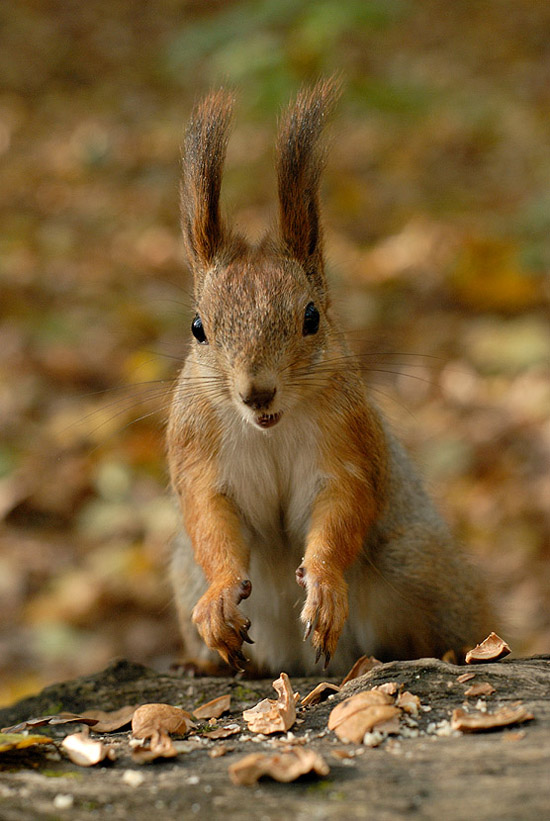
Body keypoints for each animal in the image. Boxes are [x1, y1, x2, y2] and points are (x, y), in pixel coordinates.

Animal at [166, 80, 494, 676]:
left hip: (418, 564)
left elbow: (342, 510)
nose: (257, 392)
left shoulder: (349, 443)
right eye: (198, 327)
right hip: (182, 576)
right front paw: (220, 596)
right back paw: (202, 663)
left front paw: (323, 588)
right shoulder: (196, 453)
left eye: (312, 317)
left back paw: (451, 650)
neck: (270, 429)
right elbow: (210, 523)